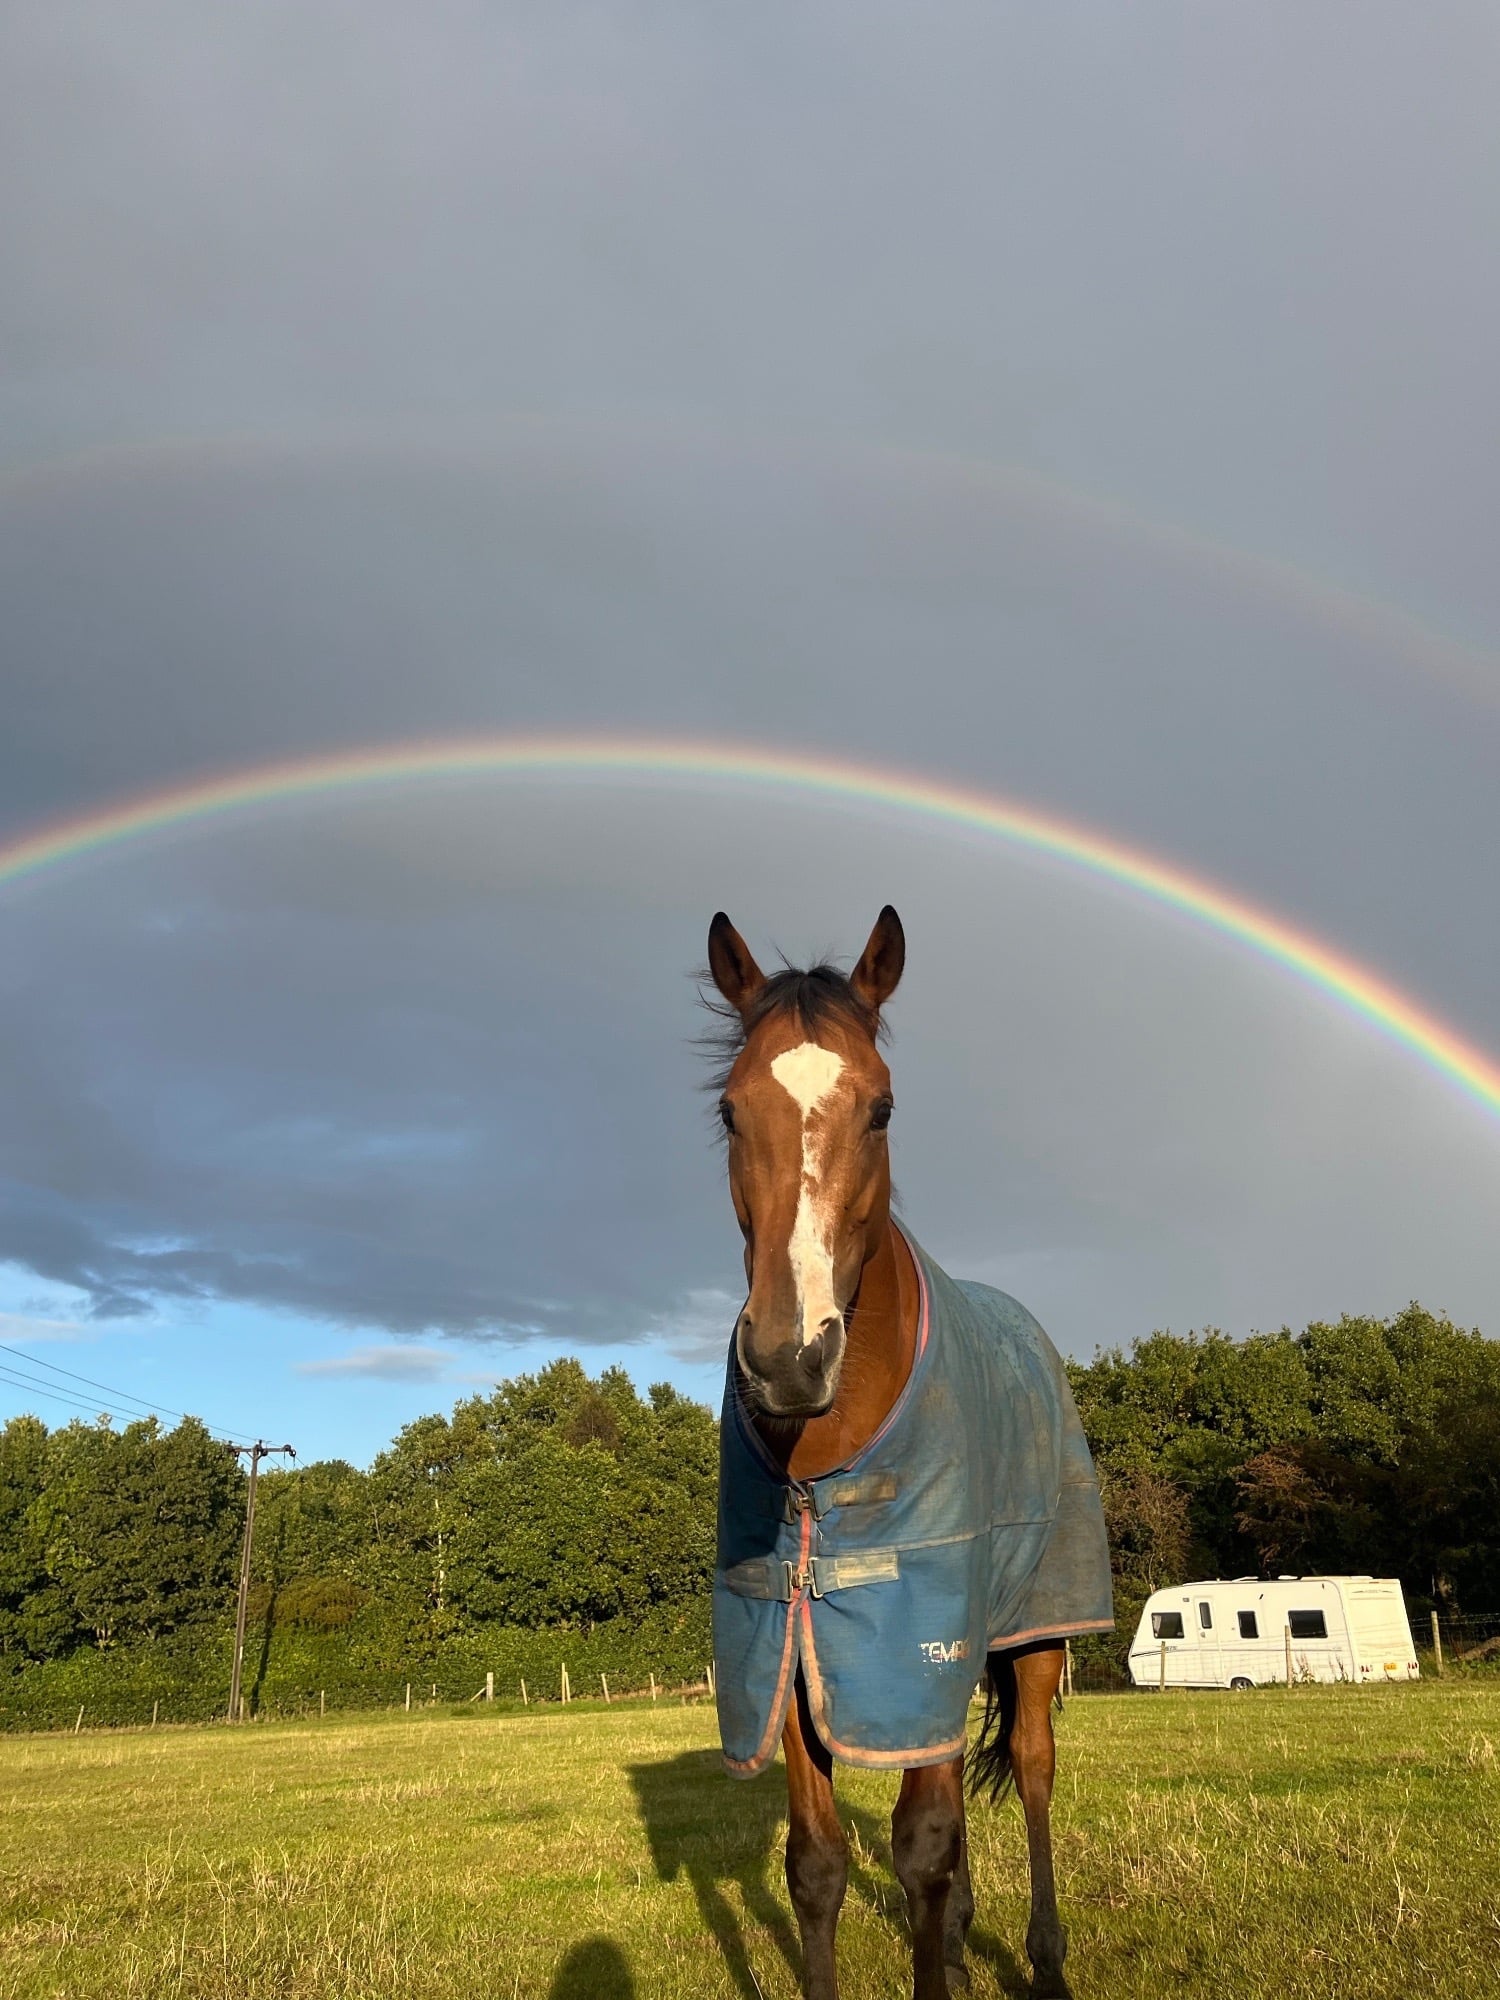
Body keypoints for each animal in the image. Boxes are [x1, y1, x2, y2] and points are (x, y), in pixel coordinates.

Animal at [705, 906, 1114, 2000]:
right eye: (729, 1112)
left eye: (882, 1109)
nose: (788, 1357)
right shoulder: (791, 1647)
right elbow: (817, 1864)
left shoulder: (927, 1628)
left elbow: (923, 1846)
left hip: (1031, 1636)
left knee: (1033, 1766)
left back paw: (1044, 1964)